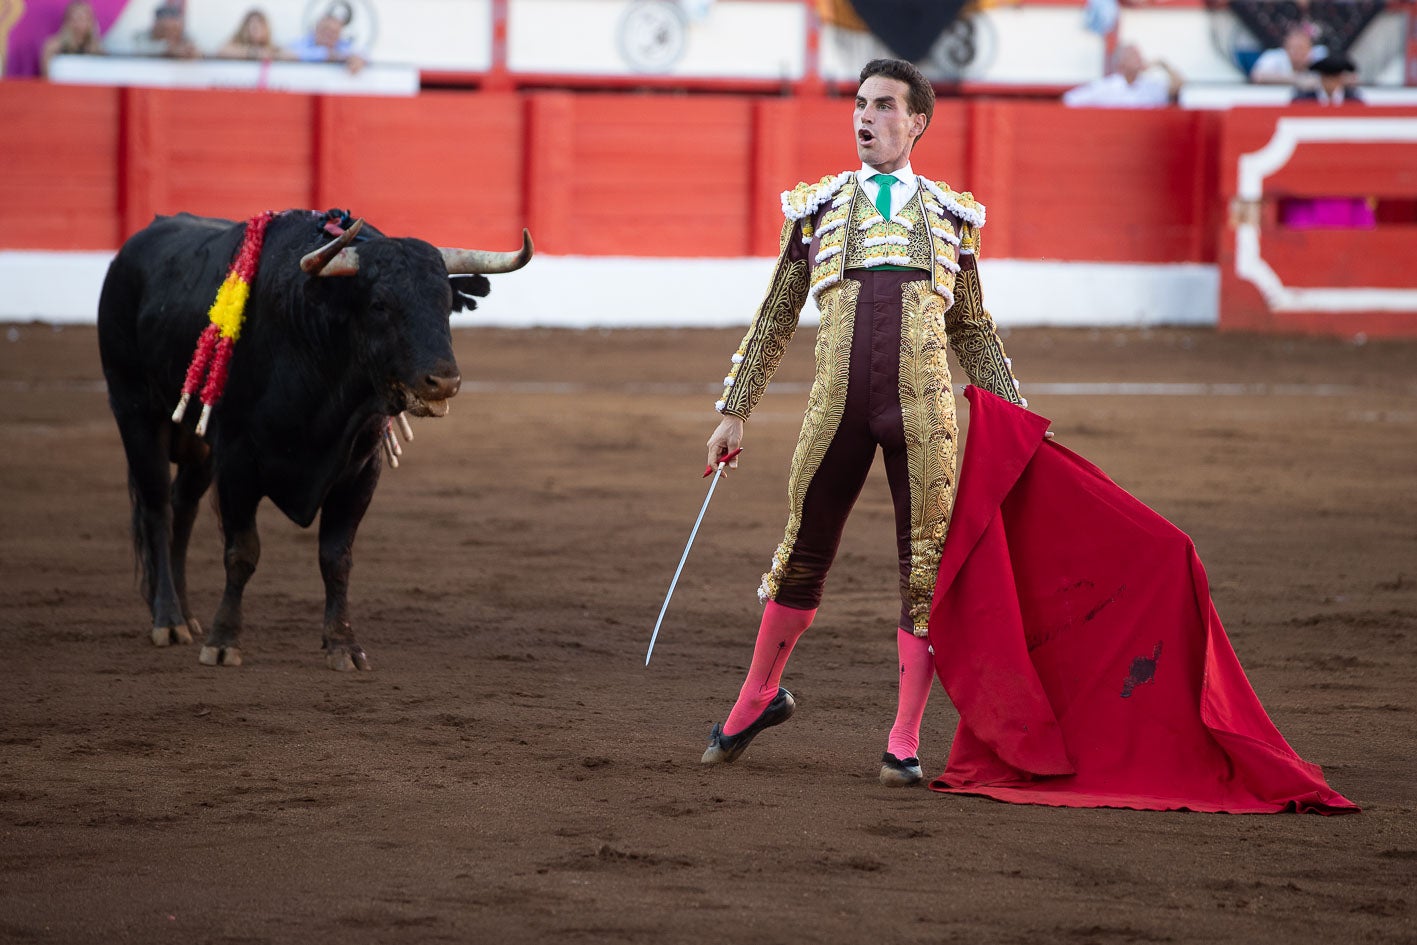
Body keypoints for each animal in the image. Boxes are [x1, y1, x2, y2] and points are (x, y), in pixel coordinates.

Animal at [97, 212, 532, 671]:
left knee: (183, 506)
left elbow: (336, 558)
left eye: (446, 303)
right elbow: (242, 552)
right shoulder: (236, 464)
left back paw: (186, 613)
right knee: (157, 508)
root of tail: (131, 250)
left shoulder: (360, 472)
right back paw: (169, 619)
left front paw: (343, 644)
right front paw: (223, 641)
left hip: (198, 439)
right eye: (379, 305)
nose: (444, 381)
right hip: (134, 409)